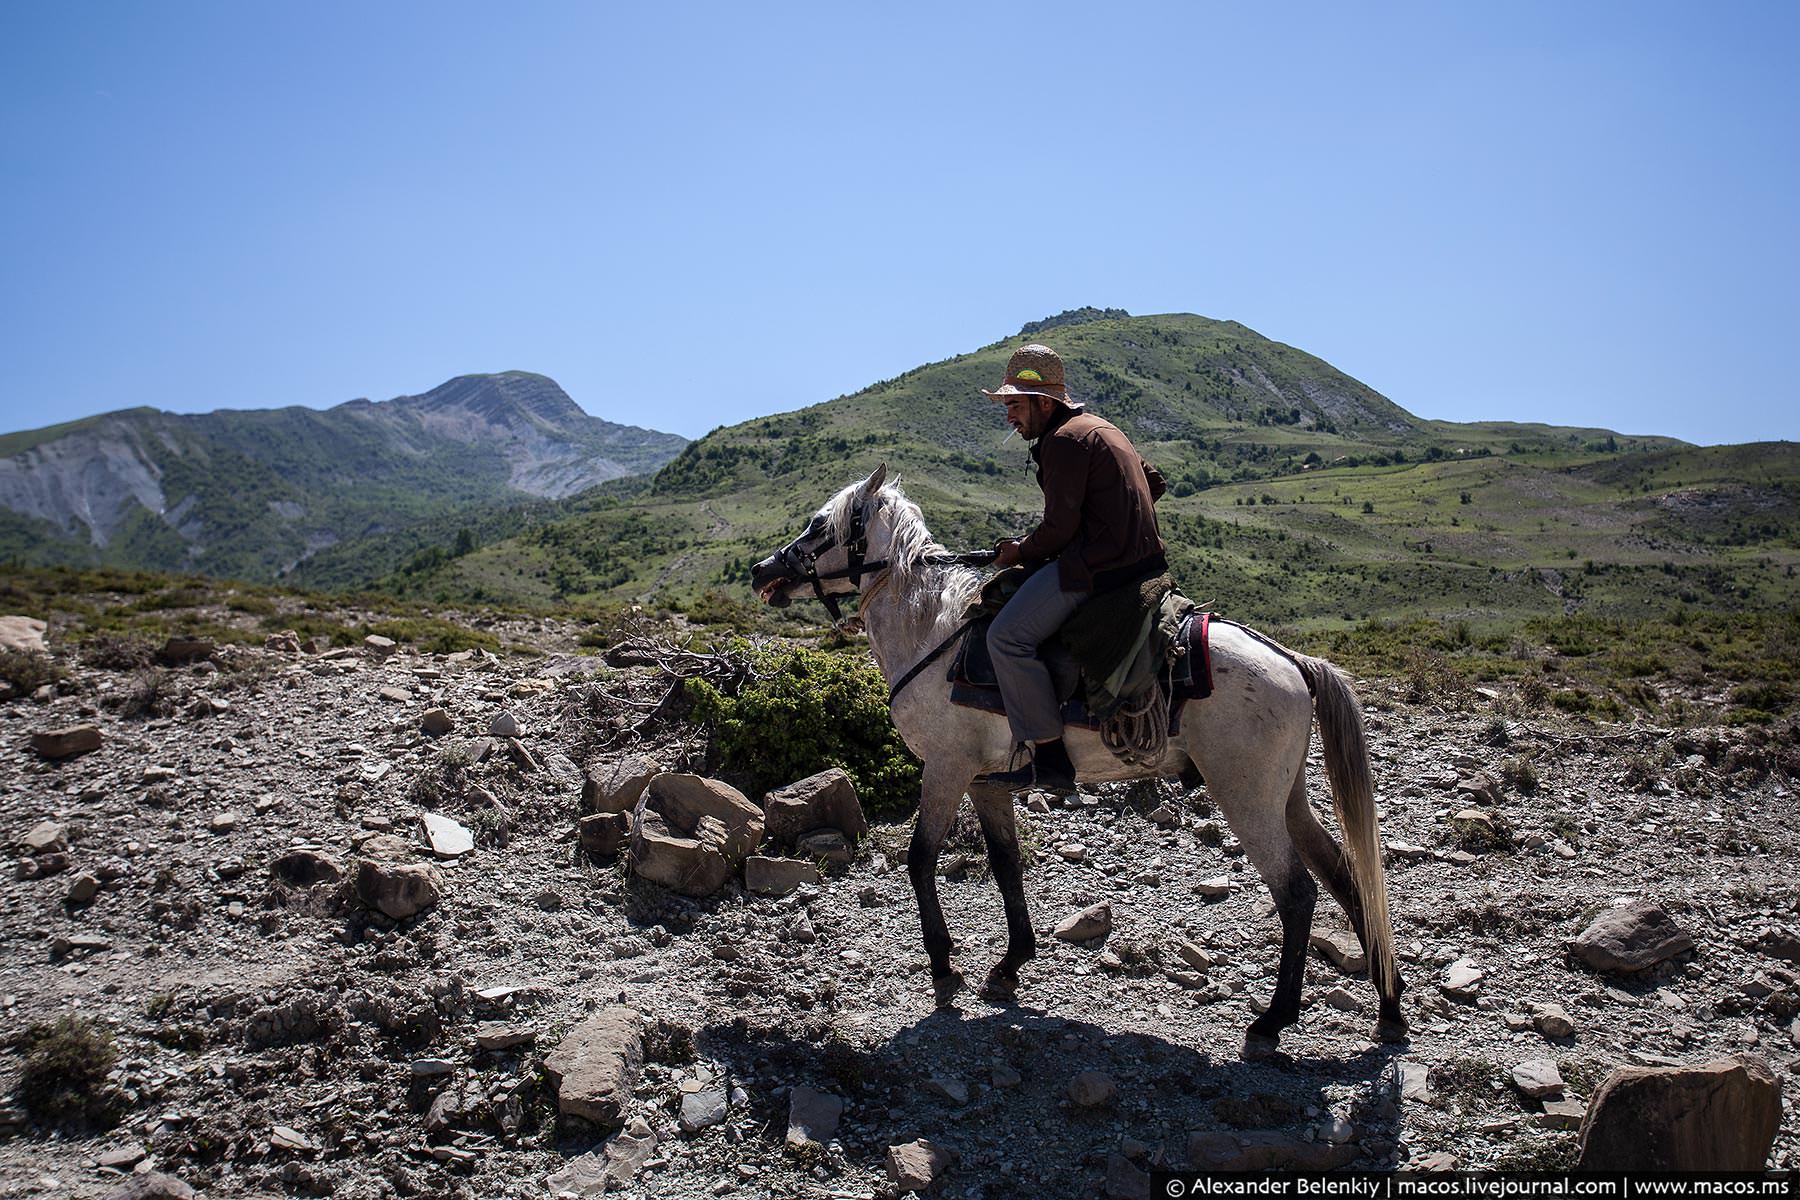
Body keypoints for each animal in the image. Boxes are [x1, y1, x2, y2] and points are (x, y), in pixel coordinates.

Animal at [748, 467, 1404, 1050]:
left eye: (819, 525)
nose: (761, 571)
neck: (933, 632)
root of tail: (1292, 661)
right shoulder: (987, 782)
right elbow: (1006, 864)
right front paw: (1010, 964)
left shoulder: (946, 769)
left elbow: (920, 860)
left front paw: (945, 967)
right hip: (1285, 796)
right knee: (1344, 876)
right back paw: (1389, 1008)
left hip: (1248, 799)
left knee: (1297, 892)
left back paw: (1275, 1019)